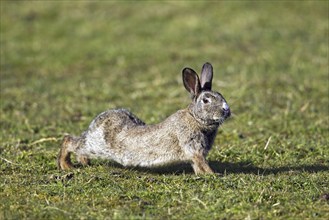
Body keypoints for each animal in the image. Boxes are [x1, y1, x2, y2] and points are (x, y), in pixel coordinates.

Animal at [57, 62, 231, 174]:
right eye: (206, 100)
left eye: (221, 95)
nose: (227, 111)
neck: (195, 118)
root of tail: (96, 121)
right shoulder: (193, 147)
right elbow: (202, 162)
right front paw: (213, 174)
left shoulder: (194, 153)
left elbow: (197, 165)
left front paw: (204, 175)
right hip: (96, 146)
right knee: (70, 141)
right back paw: (66, 166)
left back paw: (84, 162)